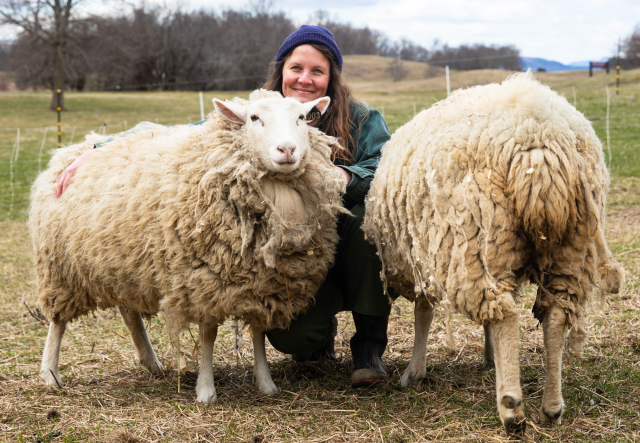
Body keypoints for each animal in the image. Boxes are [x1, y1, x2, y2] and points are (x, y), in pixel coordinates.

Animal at [30, 88, 348, 404]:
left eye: (302, 118)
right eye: (254, 118)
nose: (287, 150)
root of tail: (74, 149)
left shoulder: (262, 283)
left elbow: (258, 331)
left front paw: (265, 383)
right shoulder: (204, 279)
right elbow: (208, 336)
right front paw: (206, 390)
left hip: (120, 260)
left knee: (129, 312)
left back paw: (151, 362)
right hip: (60, 267)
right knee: (57, 322)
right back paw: (50, 374)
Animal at [364, 73, 624, 438]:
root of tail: (540, 146)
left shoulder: (425, 255)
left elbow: (423, 314)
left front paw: (414, 372)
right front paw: (490, 358)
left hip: (481, 235)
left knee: (507, 315)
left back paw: (511, 408)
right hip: (568, 246)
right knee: (554, 315)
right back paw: (551, 406)